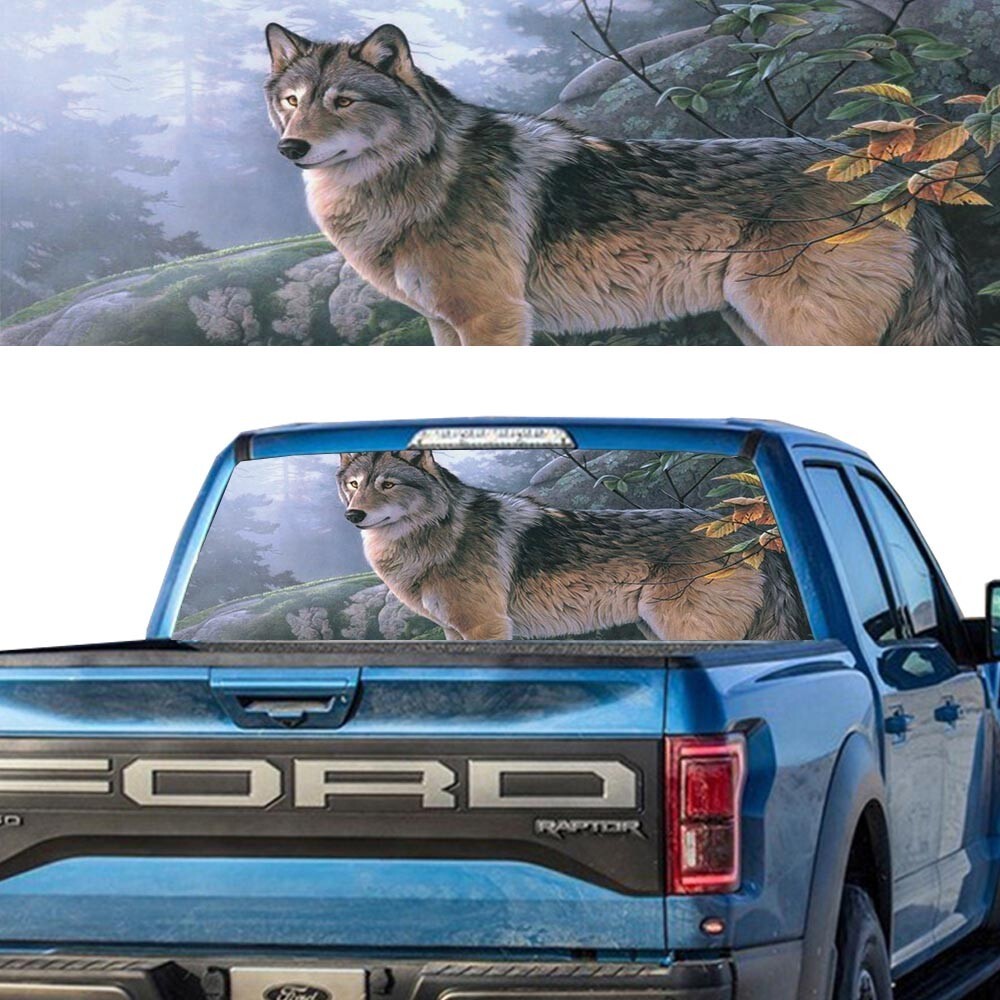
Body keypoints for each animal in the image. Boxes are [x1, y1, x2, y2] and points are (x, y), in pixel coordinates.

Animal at [264, 22, 974, 347]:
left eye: (344, 101)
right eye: (292, 100)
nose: (290, 147)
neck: (420, 178)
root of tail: (895, 179)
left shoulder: (495, 320)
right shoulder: (445, 325)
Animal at [335, 451, 808, 642]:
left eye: (388, 485)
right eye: (354, 485)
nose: (353, 516)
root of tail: (746, 537)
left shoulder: (486, 628)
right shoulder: (455, 631)